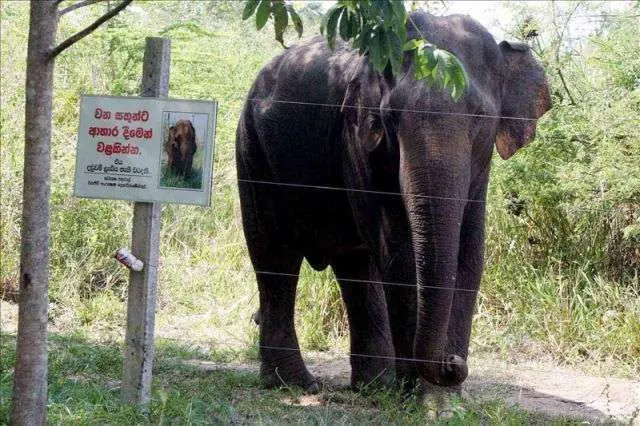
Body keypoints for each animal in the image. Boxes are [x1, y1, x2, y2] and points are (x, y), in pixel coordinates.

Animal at [235, 11, 552, 392]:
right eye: (390, 117)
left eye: (479, 116)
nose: (453, 361)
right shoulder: (355, 139)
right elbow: (397, 248)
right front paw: (419, 391)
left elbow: (470, 251)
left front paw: (445, 394)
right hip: (252, 149)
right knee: (274, 254)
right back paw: (296, 384)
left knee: (353, 264)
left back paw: (371, 385)